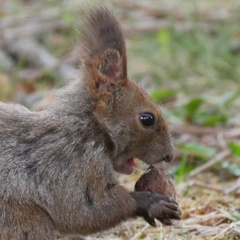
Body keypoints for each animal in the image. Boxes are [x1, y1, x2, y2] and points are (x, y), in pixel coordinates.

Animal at [0, 6, 181, 240]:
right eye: (147, 119)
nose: (170, 156)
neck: (89, 126)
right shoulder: (69, 163)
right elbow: (81, 211)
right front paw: (151, 203)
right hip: (22, 218)